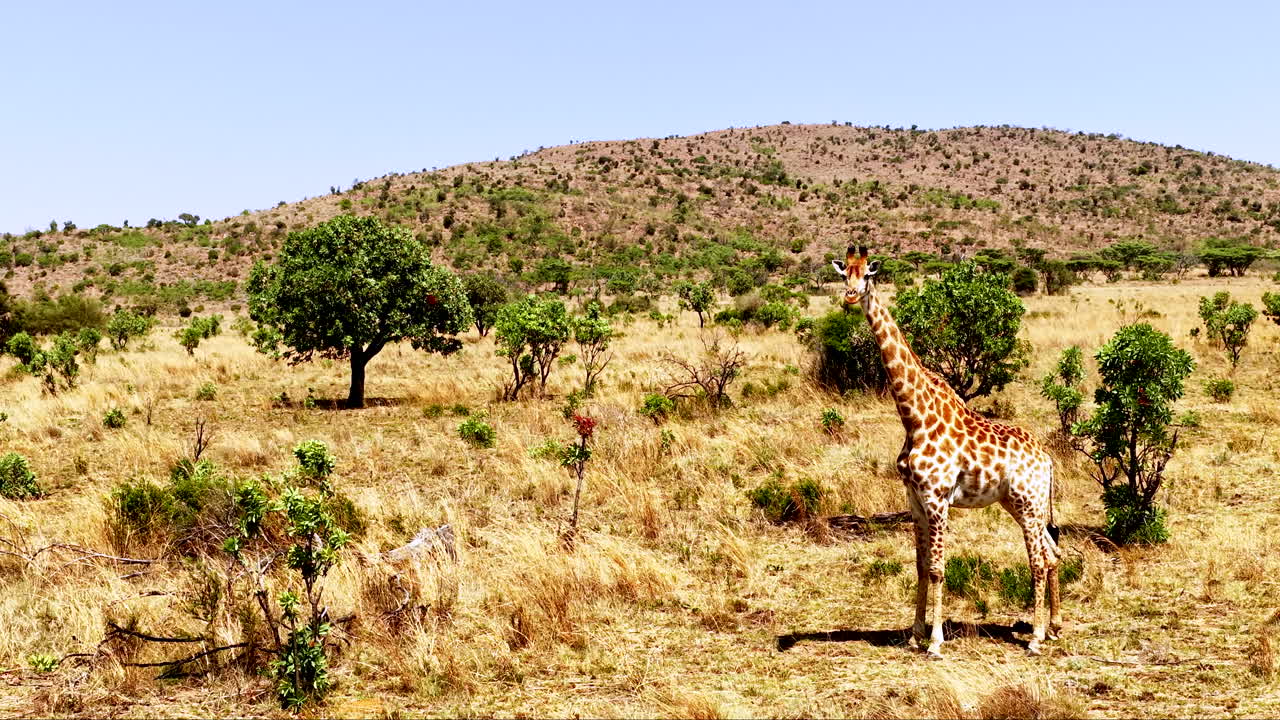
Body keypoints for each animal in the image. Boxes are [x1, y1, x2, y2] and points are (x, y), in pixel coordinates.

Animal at [832, 246, 1061, 657]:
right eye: (845, 275)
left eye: (868, 274)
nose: (851, 297)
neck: (914, 417)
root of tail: (1047, 459)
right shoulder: (914, 499)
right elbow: (922, 566)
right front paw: (913, 634)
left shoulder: (938, 498)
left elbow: (939, 568)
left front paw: (936, 642)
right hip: (1018, 504)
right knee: (1052, 555)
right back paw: (1054, 628)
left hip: (1029, 503)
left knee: (1038, 560)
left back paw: (1035, 639)